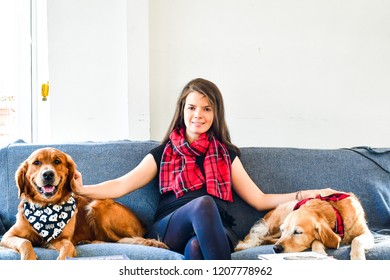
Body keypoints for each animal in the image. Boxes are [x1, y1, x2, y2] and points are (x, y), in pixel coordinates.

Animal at [0, 148, 168, 260]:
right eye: (36, 162)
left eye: (57, 161)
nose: (48, 174)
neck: (46, 208)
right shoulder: (8, 236)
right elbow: (25, 242)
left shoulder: (61, 239)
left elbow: (68, 246)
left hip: (97, 206)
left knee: (116, 240)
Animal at [235, 189, 374, 260]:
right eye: (284, 230)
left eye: (297, 232)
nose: (276, 249)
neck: (335, 212)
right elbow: (316, 242)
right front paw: (319, 252)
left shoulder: (367, 234)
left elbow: (356, 240)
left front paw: (357, 258)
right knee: (258, 236)